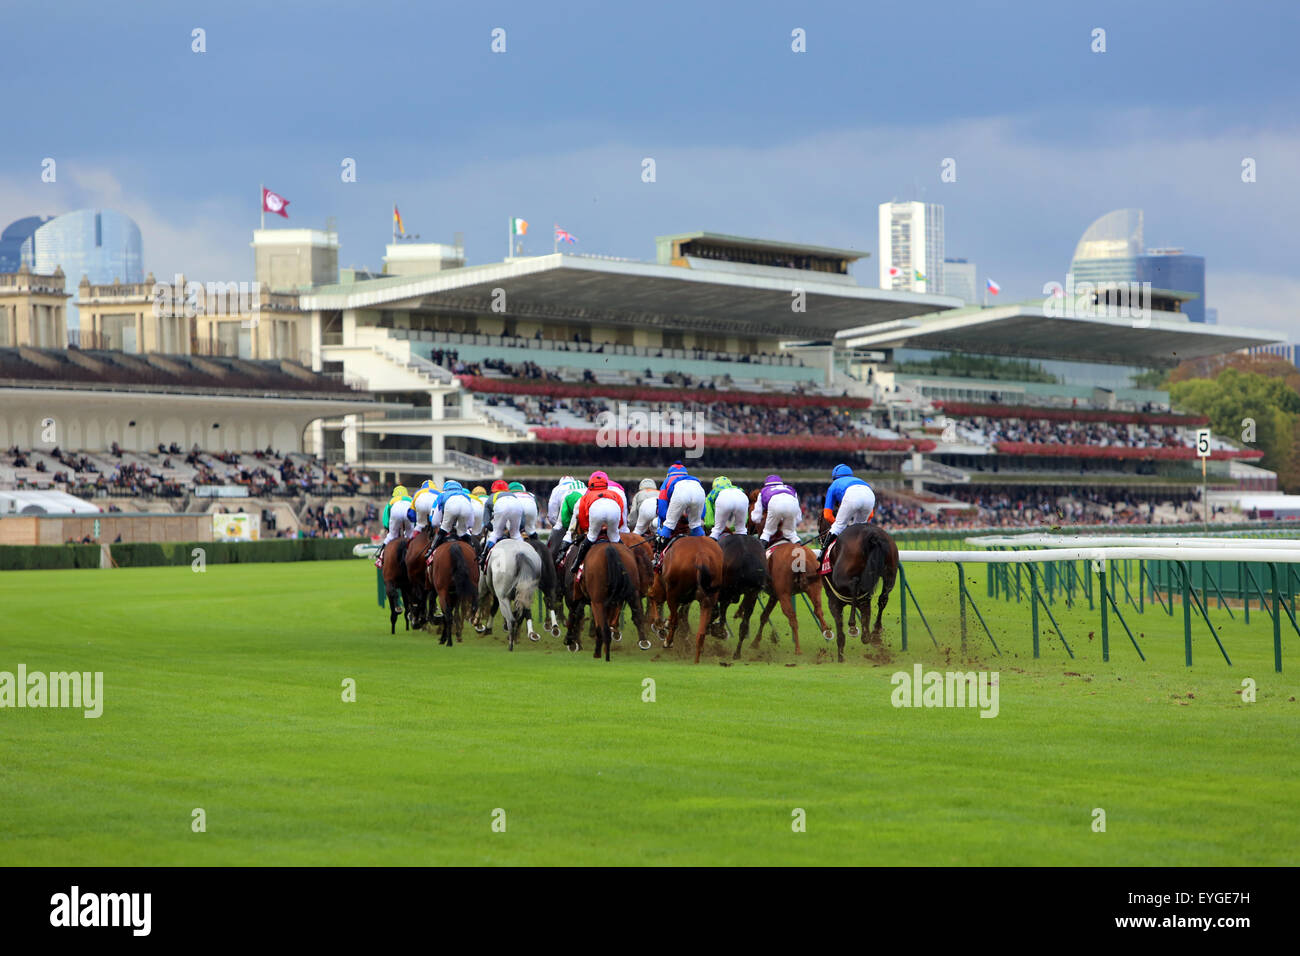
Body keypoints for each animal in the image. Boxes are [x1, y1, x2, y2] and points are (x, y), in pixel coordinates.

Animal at [816, 520, 899, 660]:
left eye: (818, 521)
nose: (820, 539)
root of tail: (872, 535)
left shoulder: (833, 601)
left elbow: (840, 631)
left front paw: (840, 657)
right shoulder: (865, 602)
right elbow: (866, 618)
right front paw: (868, 636)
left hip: (841, 574)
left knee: (854, 582)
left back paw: (853, 625)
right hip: (890, 573)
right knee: (883, 598)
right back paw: (876, 633)